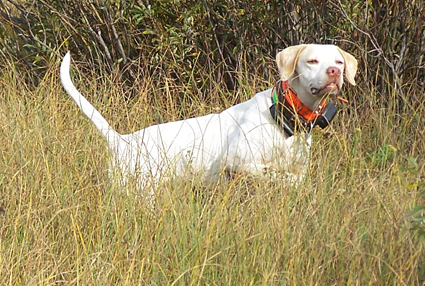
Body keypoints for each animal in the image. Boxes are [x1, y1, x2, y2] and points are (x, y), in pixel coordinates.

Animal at [59, 44, 356, 192]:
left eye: (339, 62)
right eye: (312, 61)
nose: (334, 72)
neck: (286, 115)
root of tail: (121, 141)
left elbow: (293, 179)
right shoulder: (238, 163)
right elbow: (275, 174)